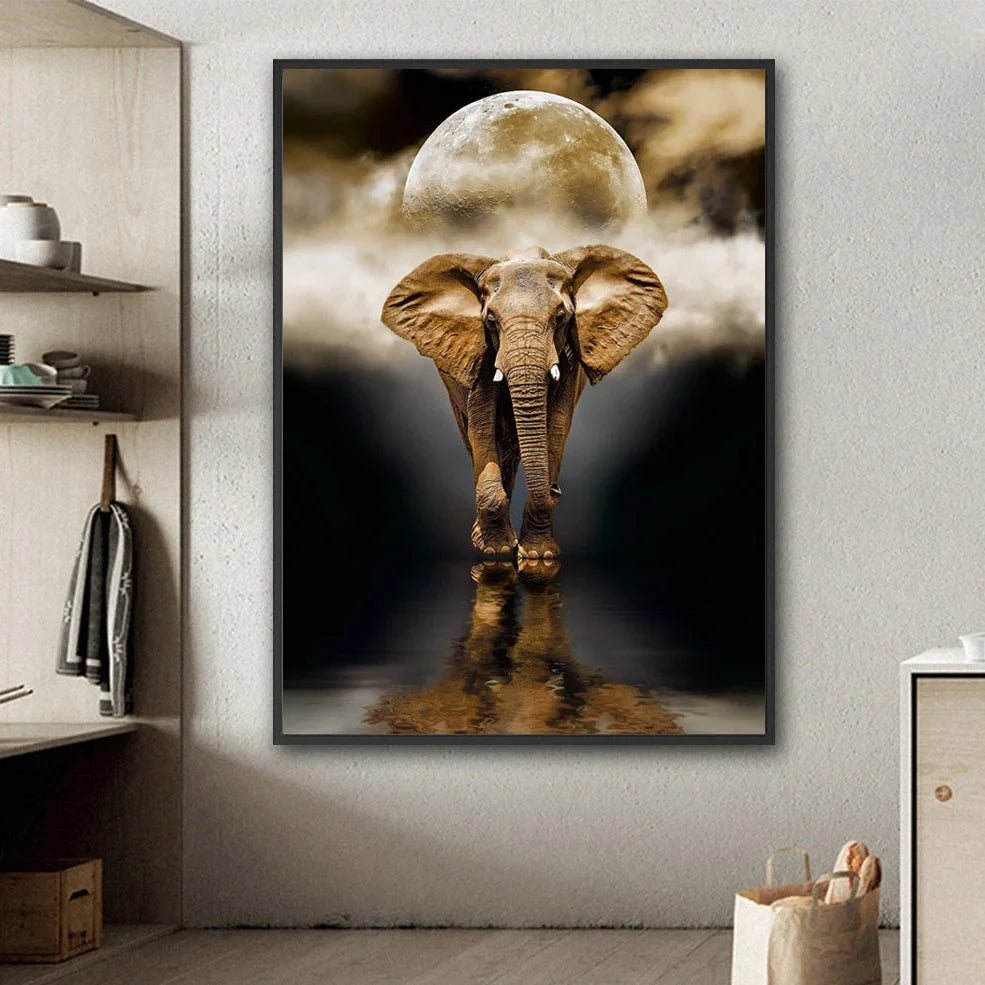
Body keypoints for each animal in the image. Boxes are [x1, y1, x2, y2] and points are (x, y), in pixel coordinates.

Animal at [381, 244, 668, 559]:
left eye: (560, 318)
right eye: (491, 321)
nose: (556, 490)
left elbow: (556, 425)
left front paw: (537, 556)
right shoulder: (481, 352)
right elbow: (482, 425)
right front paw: (496, 551)